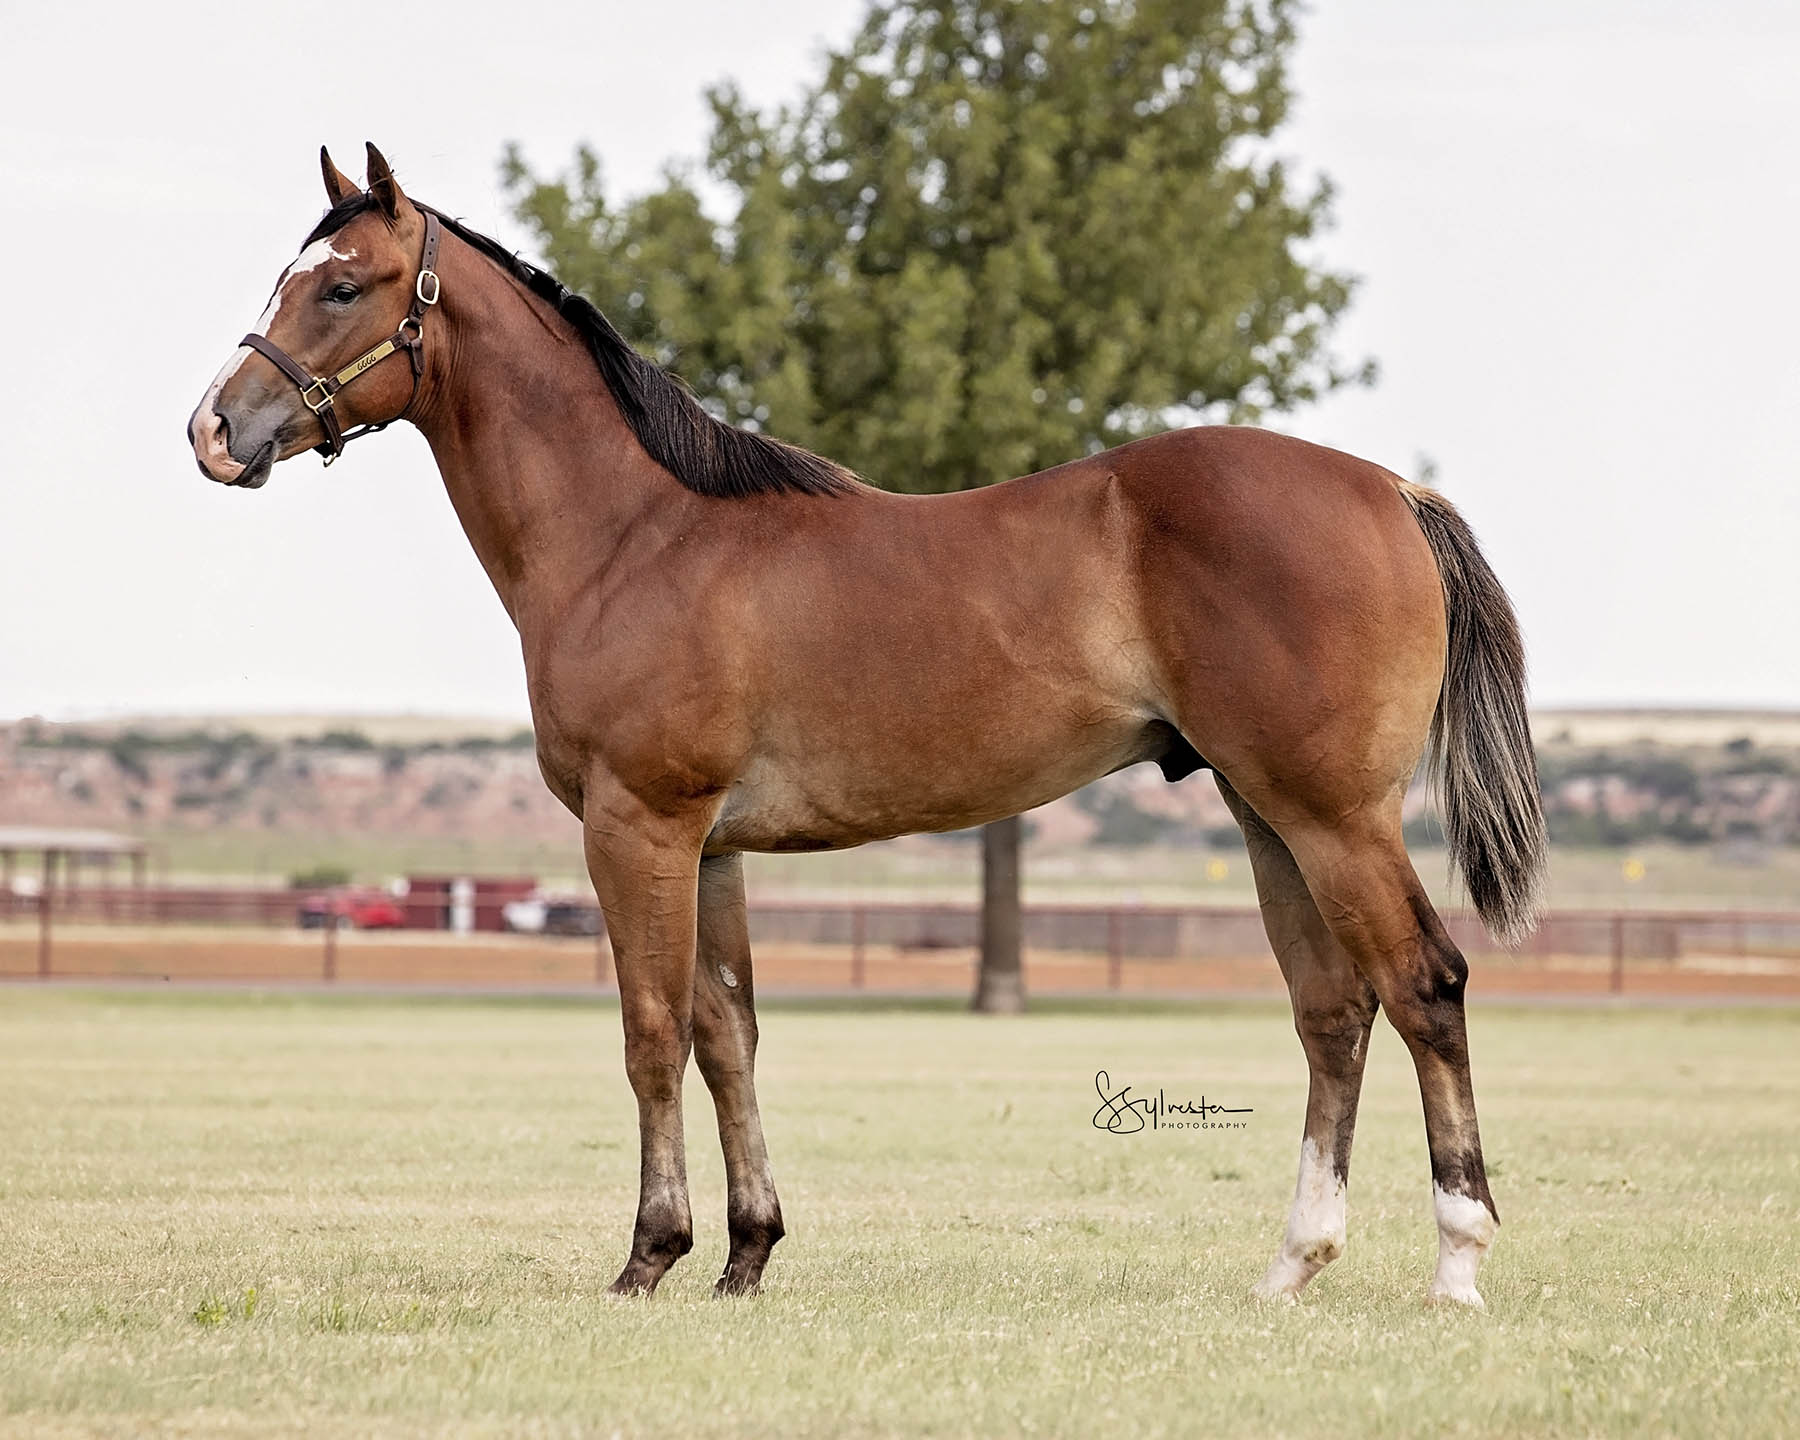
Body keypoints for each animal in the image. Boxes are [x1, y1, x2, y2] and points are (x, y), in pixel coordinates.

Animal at [193, 145, 1548, 1303]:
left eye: (343, 285)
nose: (215, 428)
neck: (634, 537)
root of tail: (1391, 489)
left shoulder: (639, 828)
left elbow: (649, 1035)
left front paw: (648, 1257)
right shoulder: (712, 848)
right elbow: (727, 1033)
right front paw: (745, 1255)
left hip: (1336, 816)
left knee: (1423, 986)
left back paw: (1458, 1265)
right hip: (1267, 813)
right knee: (1332, 1011)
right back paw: (1292, 1265)